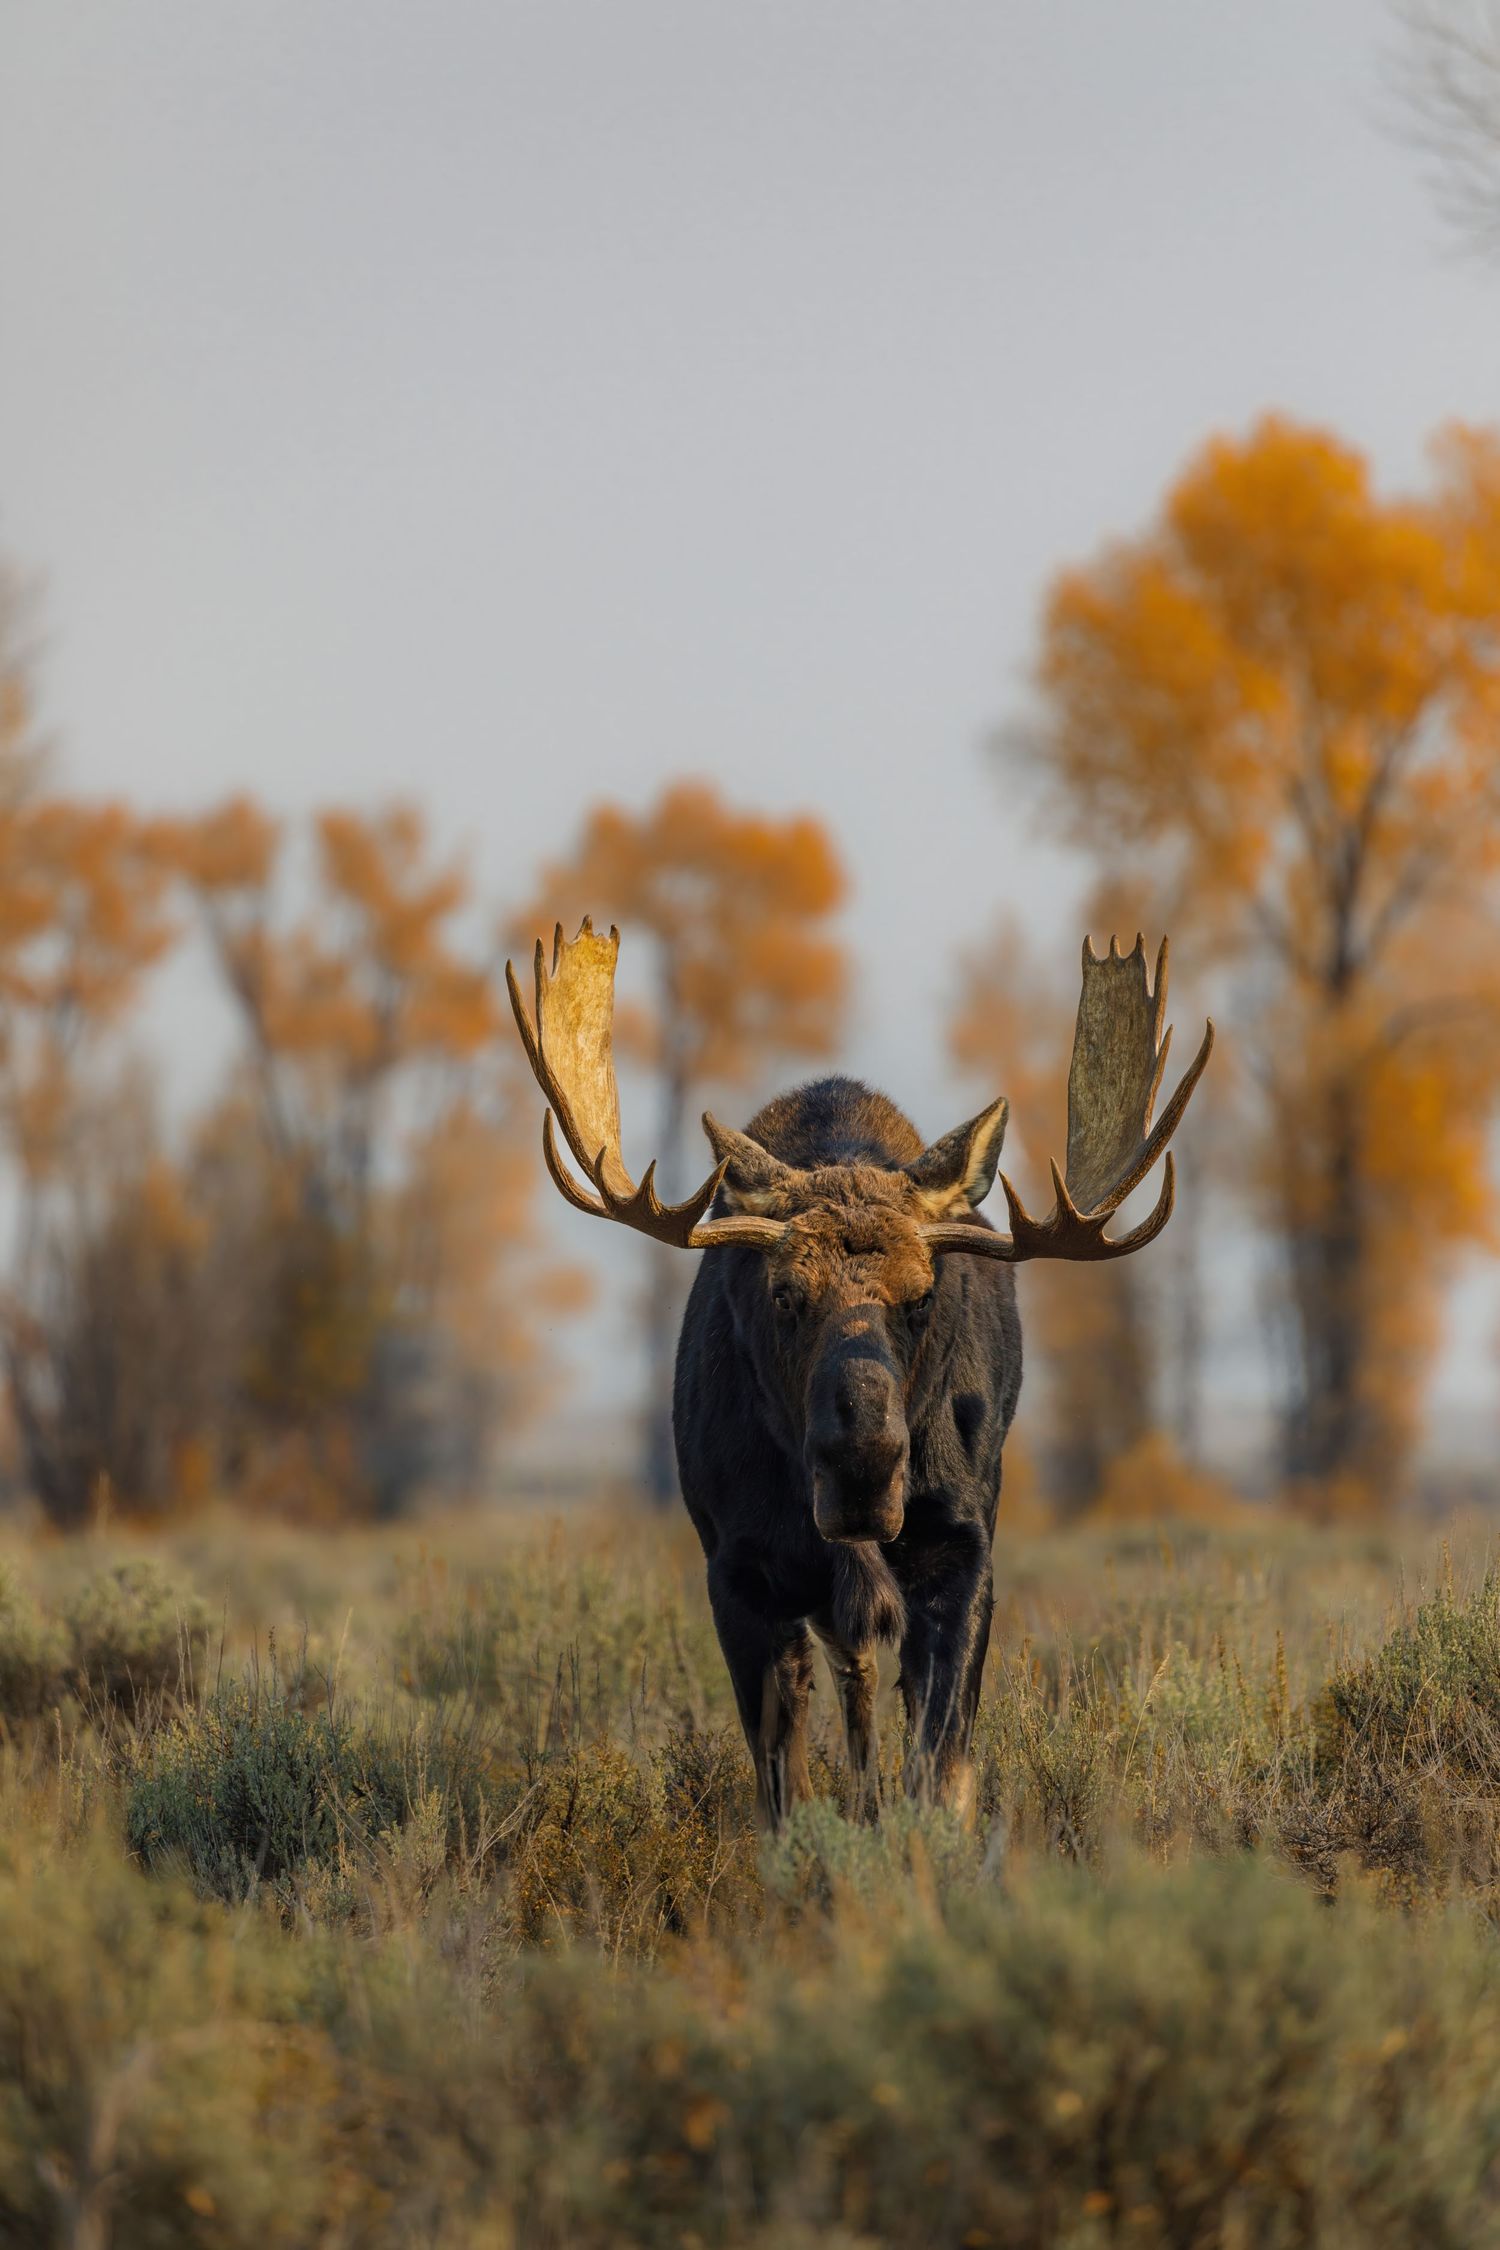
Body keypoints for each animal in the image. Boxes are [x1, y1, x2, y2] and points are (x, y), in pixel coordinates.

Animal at [507, 918, 1212, 1828]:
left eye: (924, 1293)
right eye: (783, 1292)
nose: (862, 1468)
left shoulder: (960, 1551)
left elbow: (939, 1771)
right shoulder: (737, 1569)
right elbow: (785, 1790)